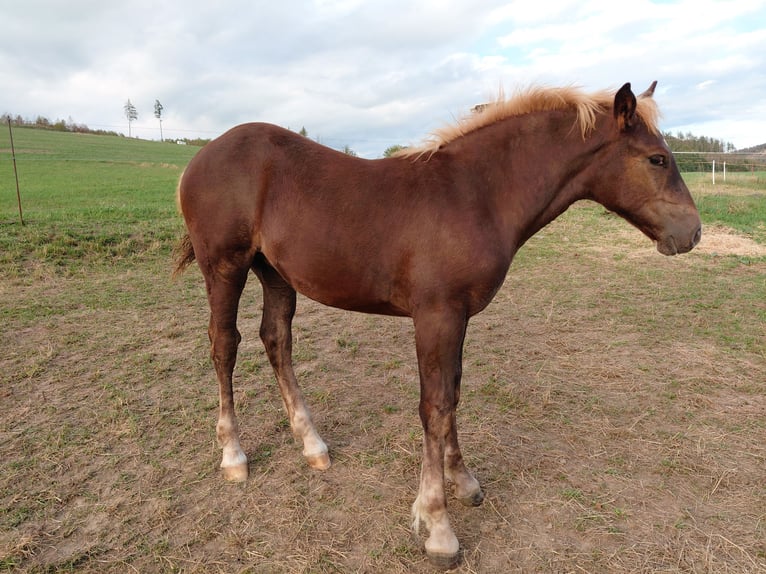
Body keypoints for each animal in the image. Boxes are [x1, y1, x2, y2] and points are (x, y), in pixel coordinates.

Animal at [174, 81, 701, 568]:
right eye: (657, 159)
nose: (692, 233)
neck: (476, 193)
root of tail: (201, 156)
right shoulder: (436, 315)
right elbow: (436, 405)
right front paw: (438, 527)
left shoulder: (457, 316)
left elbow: (454, 394)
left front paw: (463, 482)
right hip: (225, 266)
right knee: (225, 345)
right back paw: (234, 456)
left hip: (276, 273)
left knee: (276, 340)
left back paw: (312, 445)